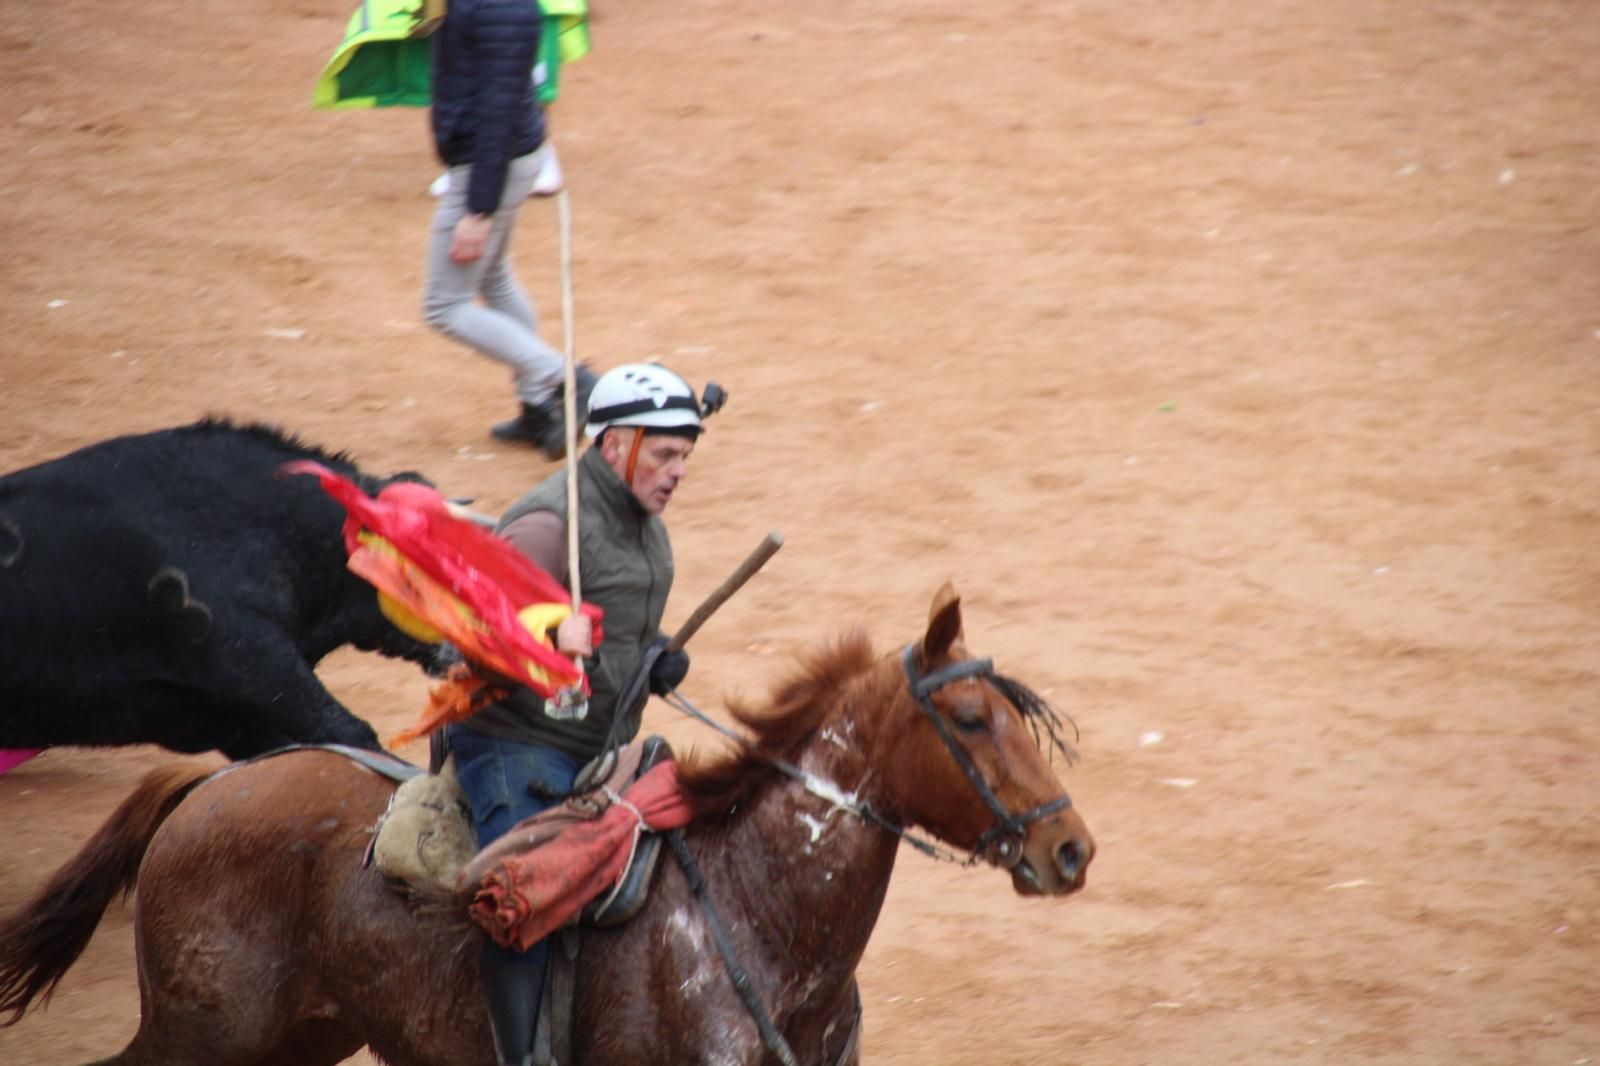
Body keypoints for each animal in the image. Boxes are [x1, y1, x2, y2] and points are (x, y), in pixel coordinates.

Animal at [0, 585, 1095, 1065]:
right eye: (969, 719)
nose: (1070, 848)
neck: (759, 910)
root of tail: (208, 790)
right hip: (201, 1033)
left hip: (301, 1038)